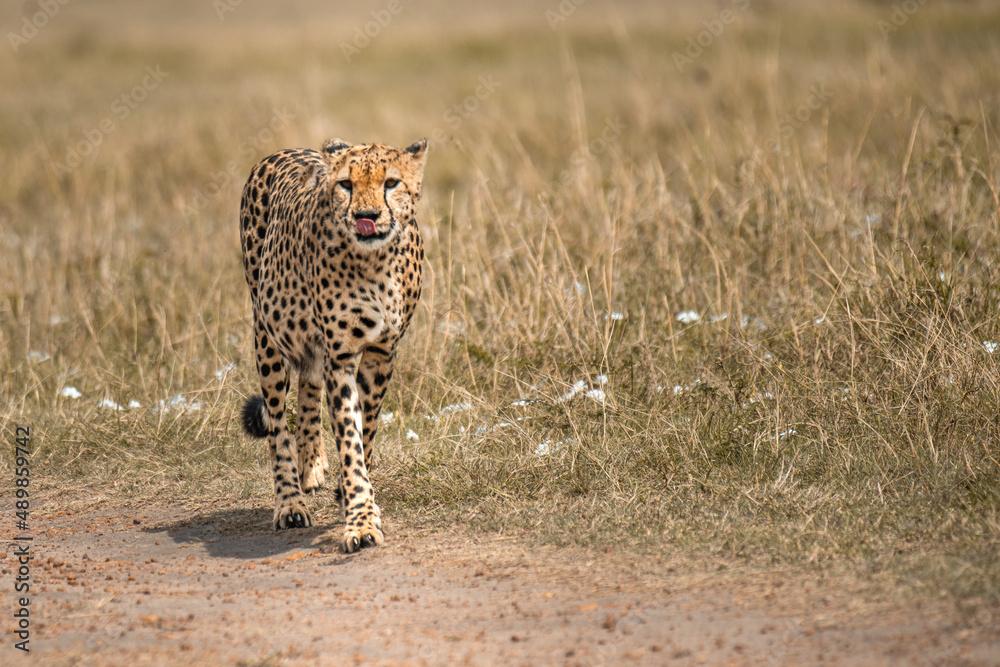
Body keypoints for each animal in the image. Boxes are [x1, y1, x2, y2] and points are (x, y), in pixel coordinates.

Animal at [238, 137, 427, 553]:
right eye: (346, 185)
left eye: (391, 182)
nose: (366, 215)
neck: (375, 261)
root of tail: (286, 151)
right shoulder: (340, 357)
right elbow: (350, 436)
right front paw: (361, 520)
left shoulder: (382, 353)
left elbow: (365, 427)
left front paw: (348, 494)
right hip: (267, 335)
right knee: (277, 422)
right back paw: (290, 501)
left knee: (308, 385)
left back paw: (311, 464)